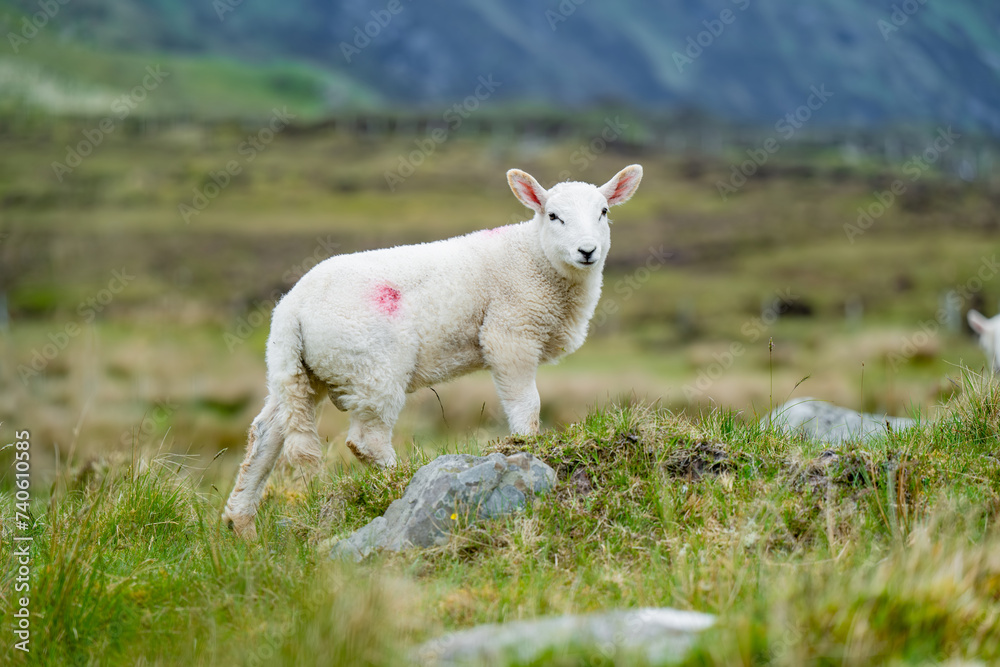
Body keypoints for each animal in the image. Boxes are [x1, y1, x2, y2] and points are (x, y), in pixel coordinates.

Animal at [222, 164, 644, 538]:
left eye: (604, 212)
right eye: (554, 216)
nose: (587, 251)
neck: (534, 258)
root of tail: (290, 310)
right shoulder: (510, 334)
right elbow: (528, 406)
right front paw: (528, 450)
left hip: (299, 372)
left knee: (266, 432)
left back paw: (241, 524)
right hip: (374, 368)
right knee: (366, 440)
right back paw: (398, 480)